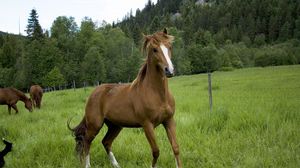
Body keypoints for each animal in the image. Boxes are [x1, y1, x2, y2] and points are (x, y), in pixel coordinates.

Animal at [68, 29, 180, 168]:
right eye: (154, 49)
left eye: (169, 46)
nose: (169, 70)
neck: (158, 95)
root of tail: (94, 93)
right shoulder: (147, 125)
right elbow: (156, 151)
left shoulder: (169, 120)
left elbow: (175, 148)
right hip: (95, 124)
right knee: (86, 141)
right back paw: (88, 165)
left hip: (115, 126)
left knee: (106, 142)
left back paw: (116, 165)